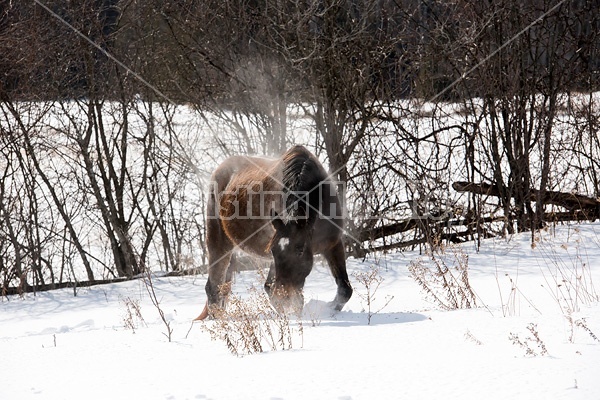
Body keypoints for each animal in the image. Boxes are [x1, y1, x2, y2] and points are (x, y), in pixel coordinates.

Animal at [197, 145, 354, 320]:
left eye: (300, 250)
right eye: (273, 251)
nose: (283, 295)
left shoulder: (333, 244)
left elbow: (344, 289)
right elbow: (277, 292)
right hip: (219, 243)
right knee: (213, 287)